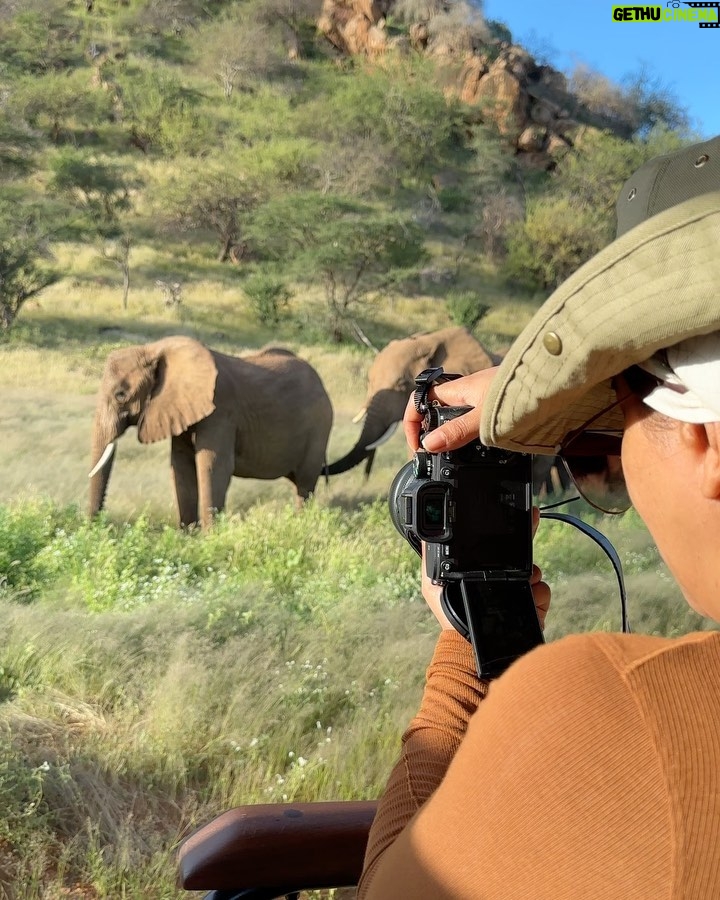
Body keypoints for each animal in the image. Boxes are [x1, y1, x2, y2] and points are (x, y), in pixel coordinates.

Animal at [88, 338, 334, 528]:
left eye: (120, 395)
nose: (96, 528)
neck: (153, 349)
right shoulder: (180, 410)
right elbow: (181, 466)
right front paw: (188, 537)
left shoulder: (220, 412)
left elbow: (212, 465)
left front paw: (210, 538)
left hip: (319, 427)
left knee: (305, 482)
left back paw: (301, 525)